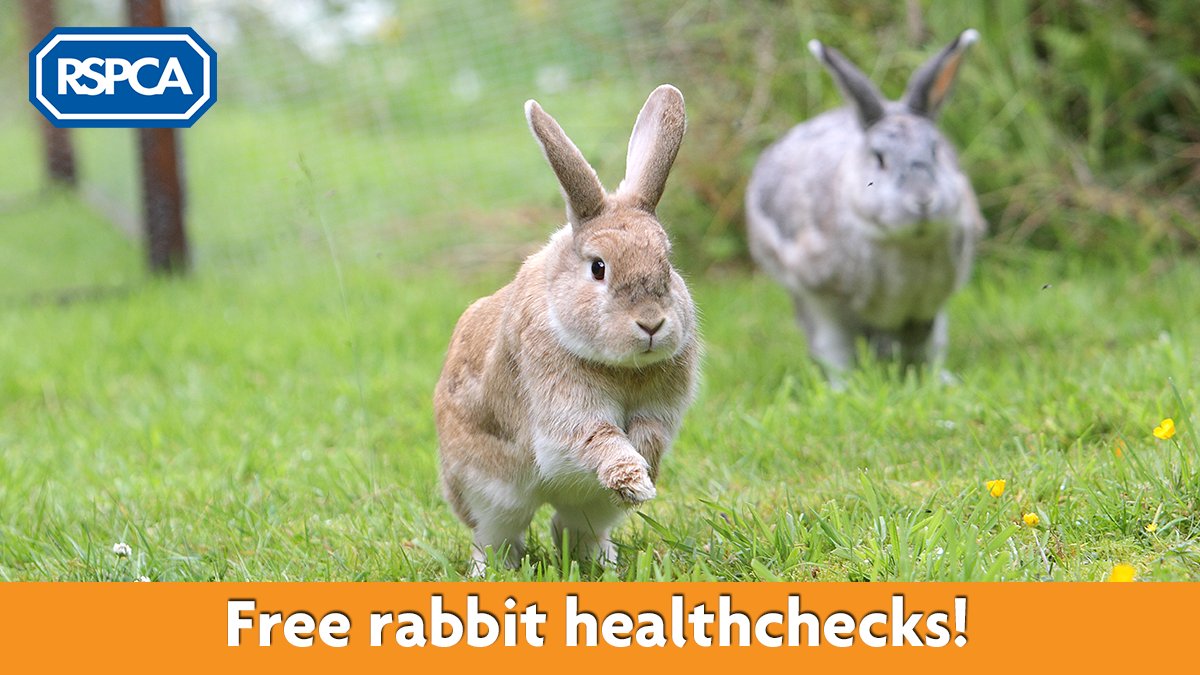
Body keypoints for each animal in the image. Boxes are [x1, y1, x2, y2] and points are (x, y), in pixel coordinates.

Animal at [434, 85, 700, 576]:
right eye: (598, 268)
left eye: (667, 264)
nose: (652, 323)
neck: (621, 366)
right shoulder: (567, 417)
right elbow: (599, 440)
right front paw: (636, 481)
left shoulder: (659, 411)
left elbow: (649, 434)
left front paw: (644, 474)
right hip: (491, 495)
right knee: (496, 537)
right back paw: (489, 574)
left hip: (591, 507)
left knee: (571, 528)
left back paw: (605, 565)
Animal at [745, 30, 986, 382]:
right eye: (879, 158)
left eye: (935, 150)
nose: (923, 199)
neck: (904, 243)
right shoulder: (824, 302)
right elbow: (835, 350)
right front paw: (842, 387)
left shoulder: (927, 309)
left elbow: (927, 347)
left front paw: (933, 381)